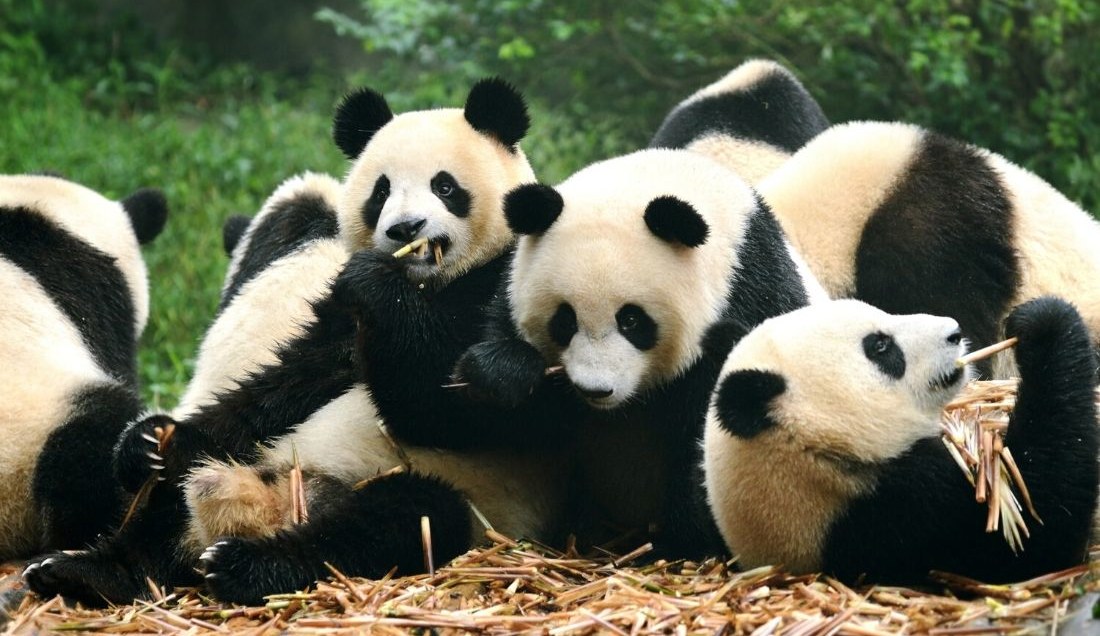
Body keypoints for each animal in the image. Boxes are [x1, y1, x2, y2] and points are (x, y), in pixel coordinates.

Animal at [25, 78, 564, 607]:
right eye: (381, 191)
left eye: (445, 186)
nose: (404, 229)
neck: (428, 282)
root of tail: (278, 500)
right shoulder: (335, 327)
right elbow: (282, 386)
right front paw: (147, 440)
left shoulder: (503, 290)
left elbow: (446, 408)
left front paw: (376, 285)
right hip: (257, 459)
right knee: (171, 500)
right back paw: (86, 571)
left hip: (464, 495)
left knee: (394, 522)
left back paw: (247, 566)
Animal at [455, 148, 822, 556]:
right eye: (564, 320)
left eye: (631, 320)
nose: (596, 389)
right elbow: (503, 427)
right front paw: (504, 373)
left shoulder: (750, 297)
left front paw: (686, 541)